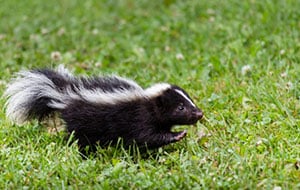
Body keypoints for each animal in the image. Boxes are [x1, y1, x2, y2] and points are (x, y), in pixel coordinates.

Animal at [2, 66, 204, 152]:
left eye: (190, 101)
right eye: (180, 107)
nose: (199, 113)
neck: (147, 102)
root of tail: (64, 92)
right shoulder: (139, 118)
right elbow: (146, 137)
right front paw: (178, 135)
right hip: (82, 122)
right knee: (79, 139)